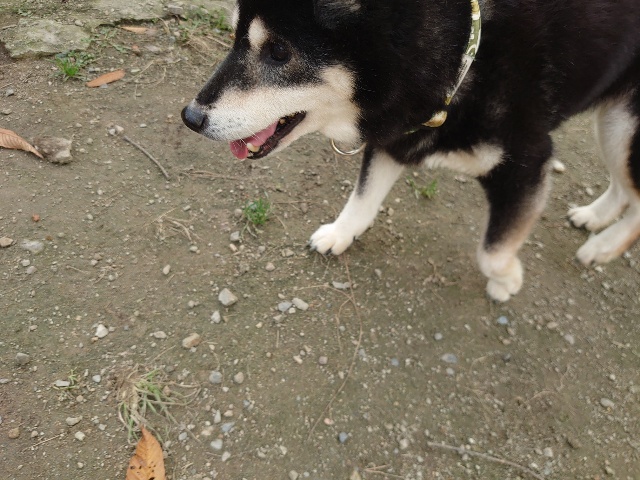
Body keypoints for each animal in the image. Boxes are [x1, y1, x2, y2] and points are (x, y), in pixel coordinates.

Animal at [182, 0, 640, 301]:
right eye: (235, 36)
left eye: (278, 51)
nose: (190, 116)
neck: (464, 57)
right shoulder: (395, 136)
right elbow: (362, 198)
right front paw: (339, 233)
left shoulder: (525, 164)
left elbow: (492, 250)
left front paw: (507, 280)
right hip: (614, 125)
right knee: (625, 190)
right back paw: (593, 218)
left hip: (625, 128)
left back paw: (601, 247)